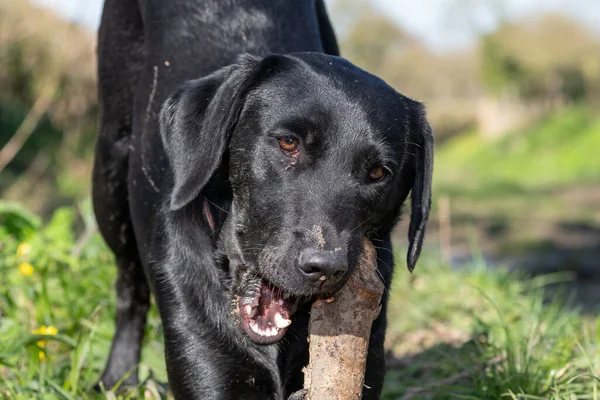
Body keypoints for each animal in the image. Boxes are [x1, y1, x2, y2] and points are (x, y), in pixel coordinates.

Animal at [91, 1, 434, 398]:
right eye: (288, 143)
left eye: (378, 172)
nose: (324, 267)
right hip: (110, 178)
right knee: (128, 286)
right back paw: (118, 377)